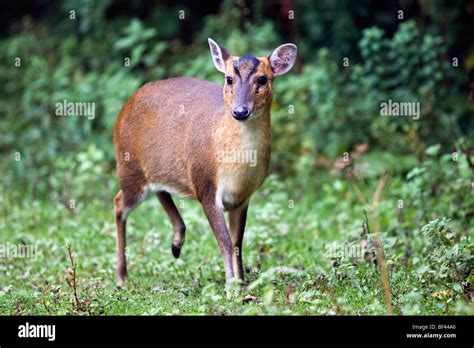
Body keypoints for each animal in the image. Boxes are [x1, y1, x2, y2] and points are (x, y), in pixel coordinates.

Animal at [114, 38, 296, 286]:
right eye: (229, 78)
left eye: (262, 79)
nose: (240, 111)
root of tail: (123, 109)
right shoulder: (206, 187)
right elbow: (225, 242)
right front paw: (231, 285)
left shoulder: (242, 199)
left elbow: (237, 243)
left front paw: (241, 282)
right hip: (128, 166)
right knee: (119, 203)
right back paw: (122, 277)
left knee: (161, 189)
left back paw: (176, 245)